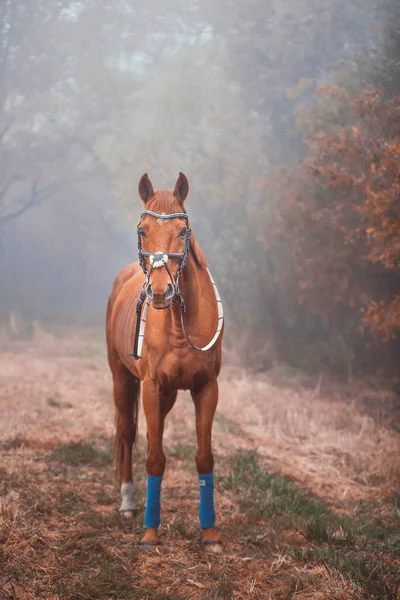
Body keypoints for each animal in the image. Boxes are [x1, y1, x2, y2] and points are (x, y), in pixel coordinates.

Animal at [105, 171, 225, 552]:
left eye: (183, 232)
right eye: (142, 229)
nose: (160, 292)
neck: (180, 324)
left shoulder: (206, 388)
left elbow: (204, 456)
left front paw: (210, 533)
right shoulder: (152, 387)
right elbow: (155, 458)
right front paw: (150, 533)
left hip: (169, 395)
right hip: (122, 379)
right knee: (128, 433)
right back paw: (129, 503)